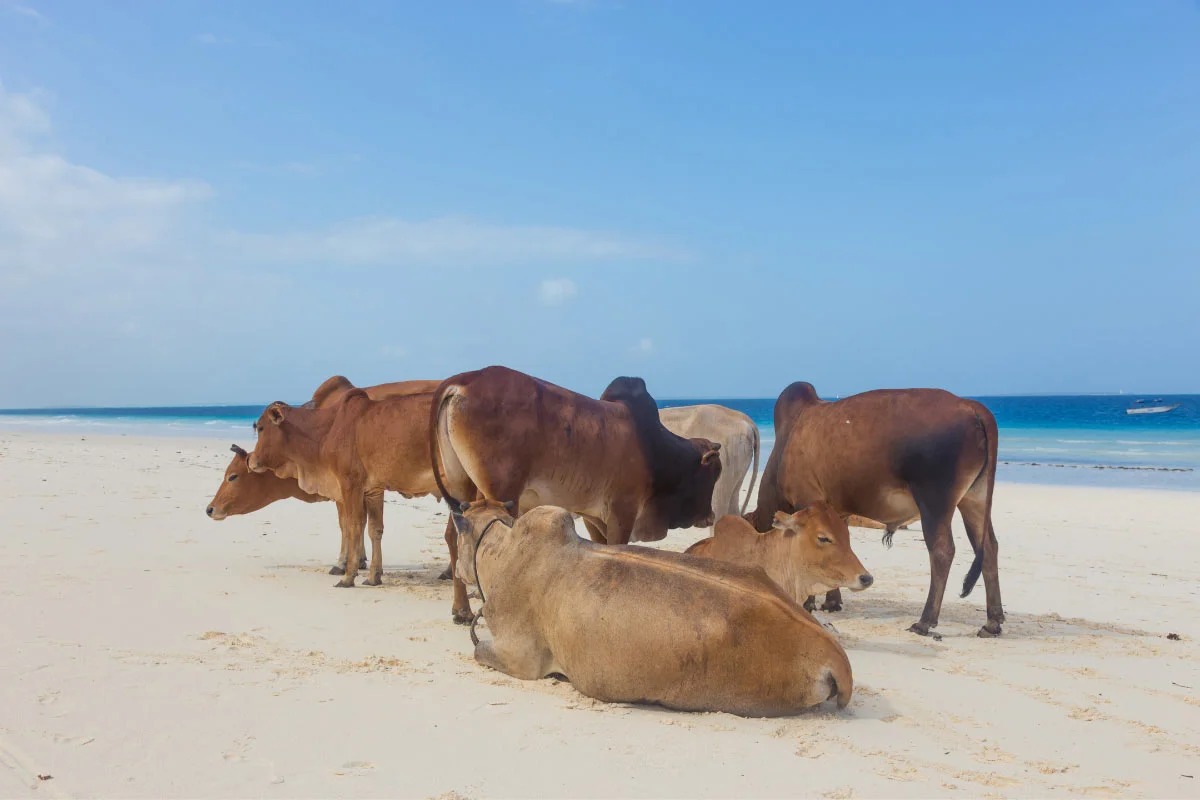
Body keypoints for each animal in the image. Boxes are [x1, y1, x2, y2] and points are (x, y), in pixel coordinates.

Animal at [436, 367, 724, 561]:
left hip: (462, 485)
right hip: (501, 494)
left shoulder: (593, 516)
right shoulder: (622, 512)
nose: (710, 516)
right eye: (714, 474)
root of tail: (463, 381)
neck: (654, 448)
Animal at [748, 383, 1003, 642]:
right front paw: (832, 601)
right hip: (974, 500)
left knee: (943, 551)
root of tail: (972, 406)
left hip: (935, 503)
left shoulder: (807, 500)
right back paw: (992, 622)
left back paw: (925, 621)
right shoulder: (838, 513)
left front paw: (809, 602)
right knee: (988, 548)